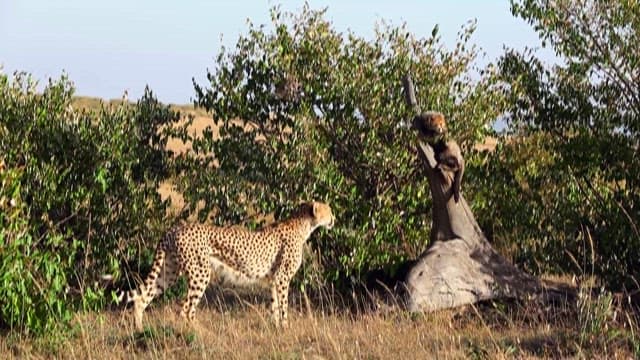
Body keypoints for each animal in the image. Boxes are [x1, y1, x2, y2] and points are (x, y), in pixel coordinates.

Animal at [117, 201, 336, 328]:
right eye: (329, 210)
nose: (334, 218)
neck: (303, 225)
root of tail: (175, 227)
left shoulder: (274, 280)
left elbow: (274, 305)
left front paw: (276, 328)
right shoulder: (282, 278)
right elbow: (283, 305)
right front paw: (285, 327)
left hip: (169, 271)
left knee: (142, 298)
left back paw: (139, 329)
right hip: (200, 274)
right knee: (185, 308)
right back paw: (199, 334)